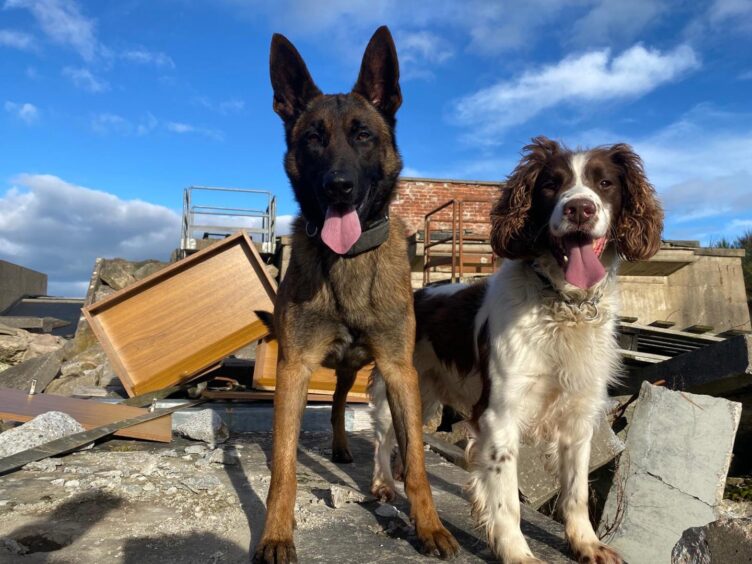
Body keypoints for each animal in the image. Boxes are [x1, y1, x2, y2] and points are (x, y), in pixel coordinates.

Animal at [254, 27, 458, 564]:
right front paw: (276, 533)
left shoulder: (399, 370)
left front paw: (430, 526)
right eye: (313, 137)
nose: (339, 187)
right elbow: (284, 466)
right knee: (335, 406)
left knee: (342, 403)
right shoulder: (294, 367)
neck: (345, 262)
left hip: (357, 368)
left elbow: (417, 462)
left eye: (363, 134)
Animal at [372, 138, 664, 564]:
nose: (580, 208)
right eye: (551, 185)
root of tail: (417, 293)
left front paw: (586, 544)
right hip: (389, 389)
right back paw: (382, 483)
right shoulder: (500, 416)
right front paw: (516, 552)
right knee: (381, 436)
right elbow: (507, 500)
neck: (563, 305)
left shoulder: (579, 417)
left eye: (605, 183)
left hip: (423, 399)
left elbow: (575, 493)